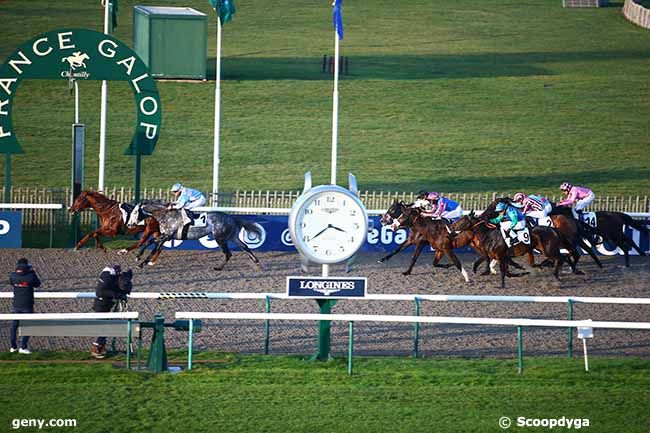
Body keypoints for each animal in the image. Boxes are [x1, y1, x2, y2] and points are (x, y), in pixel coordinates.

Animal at [126, 202, 260, 270]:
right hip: (232, 236)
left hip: (220, 238)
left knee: (228, 253)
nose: (129, 224)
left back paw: (218, 267)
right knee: (245, 247)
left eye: (135, 212)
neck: (165, 215)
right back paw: (257, 262)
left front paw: (141, 261)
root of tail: (232, 218)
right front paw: (139, 257)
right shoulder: (166, 236)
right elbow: (150, 242)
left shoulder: (167, 236)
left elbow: (153, 245)